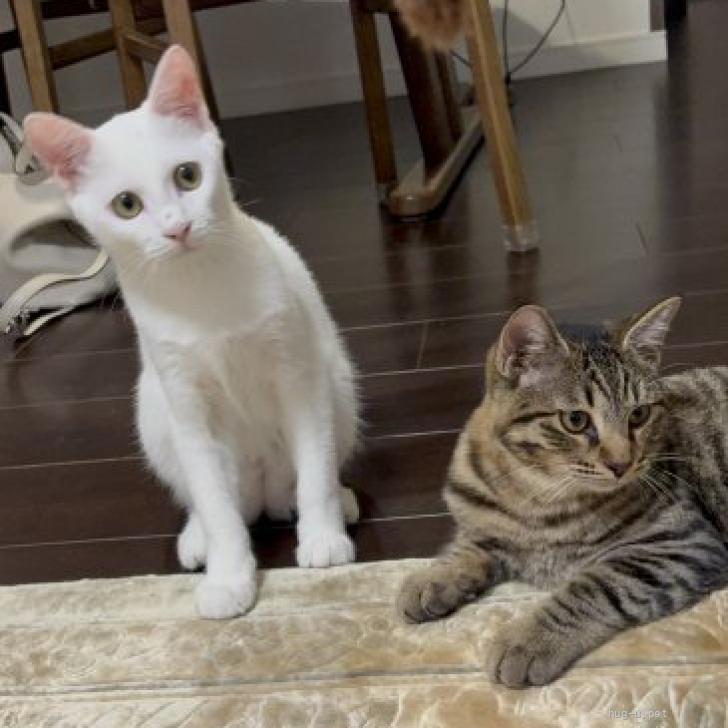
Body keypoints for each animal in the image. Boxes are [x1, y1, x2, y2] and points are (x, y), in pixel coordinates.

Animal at [23, 45, 360, 620]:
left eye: (187, 175)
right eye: (127, 205)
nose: (177, 227)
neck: (201, 289)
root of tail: (263, 490)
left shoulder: (297, 373)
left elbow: (314, 462)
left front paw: (323, 536)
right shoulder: (185, 399)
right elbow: (216, 503)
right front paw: (228, 576)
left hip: (336, 379)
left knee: (314, 462)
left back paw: (339, 498)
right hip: (154, 411)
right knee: (215, 498)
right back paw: (198, 535)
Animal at [397, 298, 728, 687]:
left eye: (639, 414)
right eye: (575, 421)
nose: (623, 464)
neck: (535, 495)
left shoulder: (683, 542)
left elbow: (592, 587)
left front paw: (527, 640)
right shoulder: (481, 521)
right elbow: (468, 544)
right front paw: (435, 576)